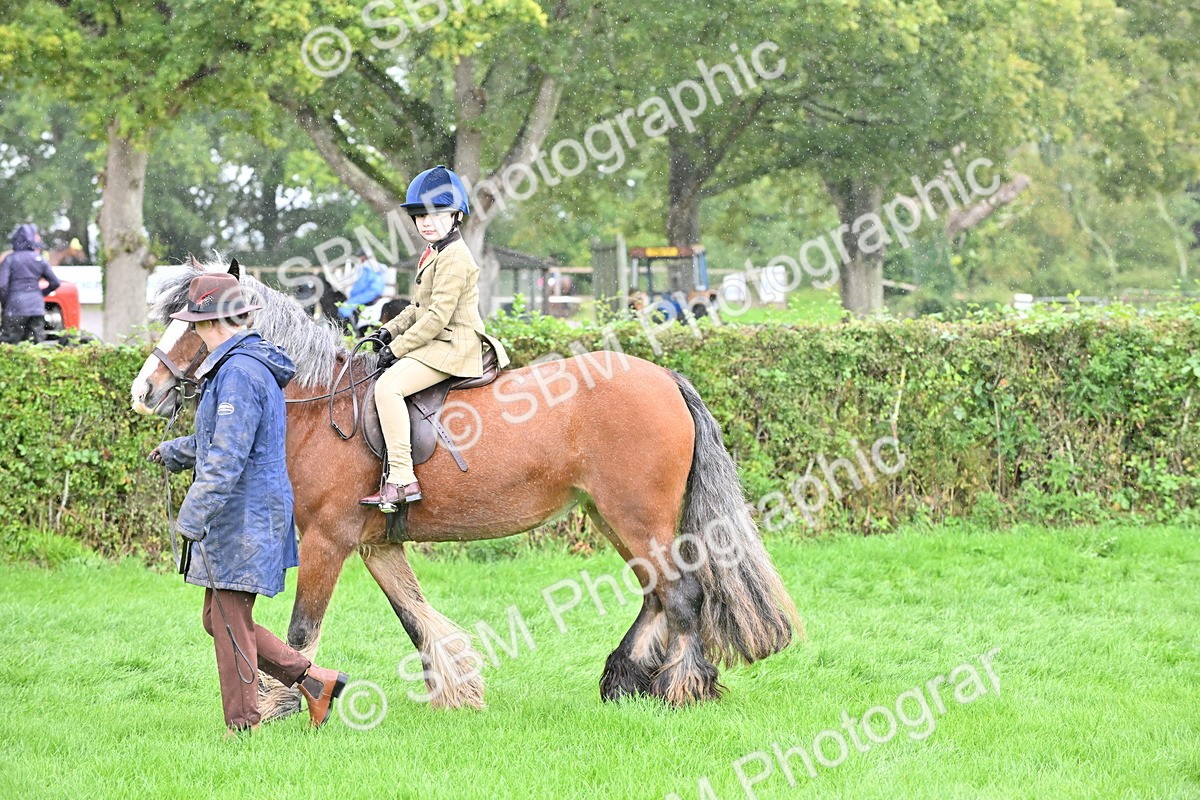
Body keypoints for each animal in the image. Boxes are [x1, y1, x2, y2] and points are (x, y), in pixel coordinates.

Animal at [130, 260, 800, 718]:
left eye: (195, 326)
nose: (144, 392)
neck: (319, 404)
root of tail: (665, 378)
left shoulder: (327, 541)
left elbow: (301, 631)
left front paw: (287, 704)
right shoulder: (377, 545)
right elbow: (414, 616)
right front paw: (455, 690)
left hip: (640, 518)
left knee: (682, 594)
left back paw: (679, 688)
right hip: (614, 517)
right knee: (656, 593)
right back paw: (624, 680)